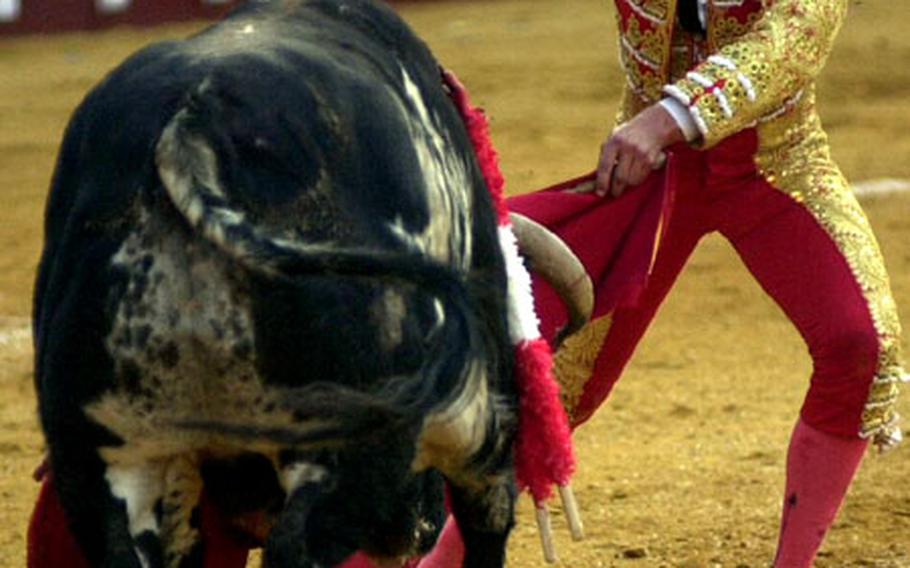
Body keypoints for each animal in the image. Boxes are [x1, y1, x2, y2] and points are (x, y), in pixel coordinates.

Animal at [32, 1, 592, 568]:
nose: (419, 532)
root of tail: (194, 120)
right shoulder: (483, 423)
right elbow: (489, 515)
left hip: (99, 457)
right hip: (350, 442)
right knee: (302, 545)